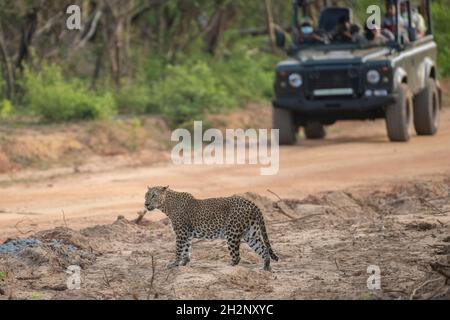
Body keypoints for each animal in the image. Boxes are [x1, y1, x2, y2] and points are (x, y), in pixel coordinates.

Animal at [144, 186, 278, 272]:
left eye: (154, 195)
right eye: (146, 196)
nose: (145, 204)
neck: (167, 205)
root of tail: (251, 203)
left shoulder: (181, 233)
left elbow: (179, 249)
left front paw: (175, 263)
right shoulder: (186, 234)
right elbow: (186, 248)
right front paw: (184, 262)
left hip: (232, 232)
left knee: (237, 256)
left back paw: (229, 266)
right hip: (250, 234)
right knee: (264, 249)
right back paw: (265, 268)